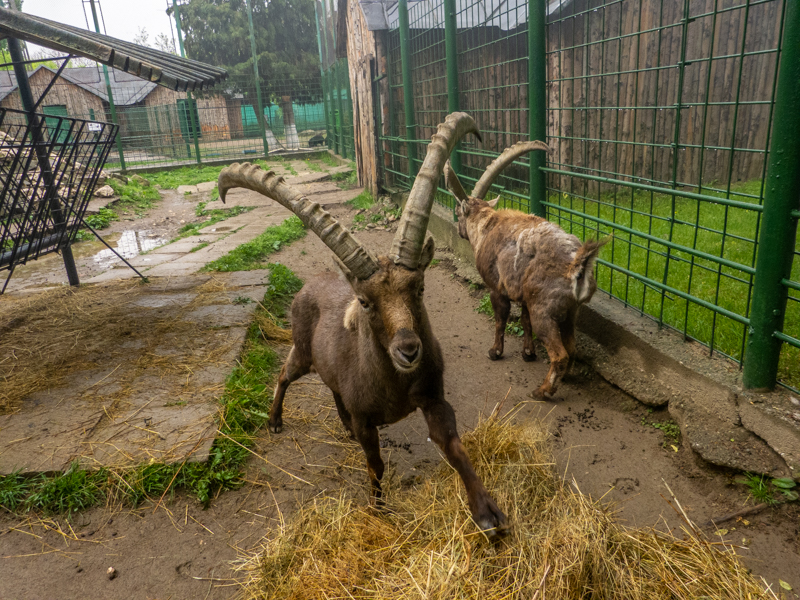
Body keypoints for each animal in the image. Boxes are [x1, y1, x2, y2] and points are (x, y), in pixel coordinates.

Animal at [218, 113, 507, 537]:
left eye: (419, 287)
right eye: (366, 302)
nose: (409, 350)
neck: (396, 388)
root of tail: (310, 284)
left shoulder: (433, 397)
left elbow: (452, 445)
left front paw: (488, 513)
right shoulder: (367, 421)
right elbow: (376, 465)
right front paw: (379, 510)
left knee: (331, 386)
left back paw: (336, 424)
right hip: (302, 351)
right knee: (286, 373)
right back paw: (274, 421)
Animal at [445, 141, 606, 399]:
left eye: (459, 213)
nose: (460, 230)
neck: (486, 226)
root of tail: (576, 265)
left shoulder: (496, 288)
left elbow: (500, 319)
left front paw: (495, 352)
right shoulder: (523, 295)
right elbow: (524, 320)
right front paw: (528, 353)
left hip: (545, 311)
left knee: (560, 354)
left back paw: (543, 391)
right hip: (570, 313)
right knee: (571, 348)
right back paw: (565, 378)